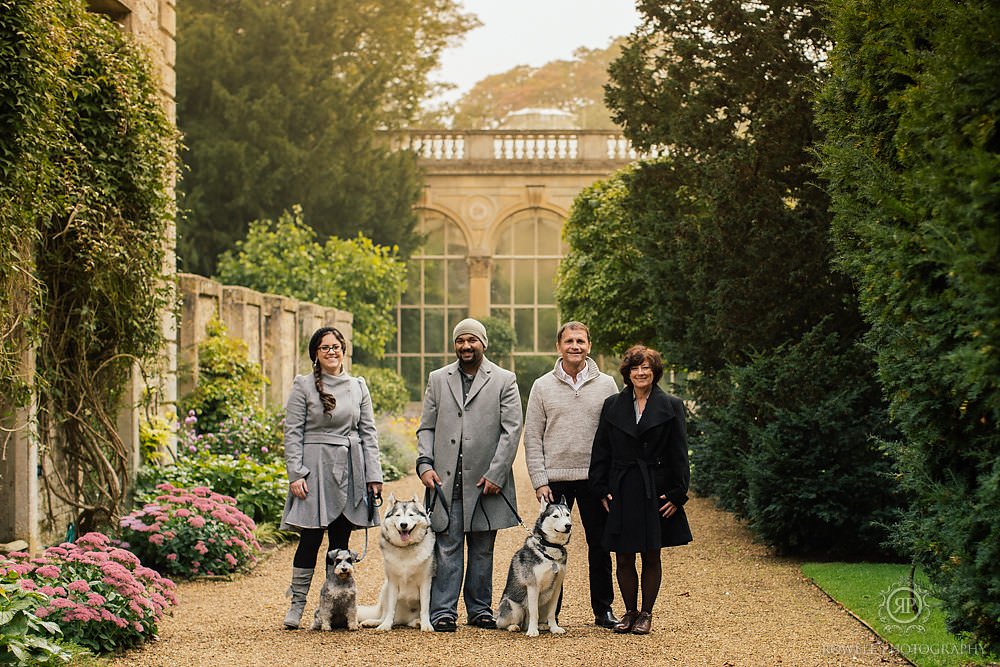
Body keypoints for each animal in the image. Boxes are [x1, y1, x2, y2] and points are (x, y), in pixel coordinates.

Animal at [360, 496, 438, 632]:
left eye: (411, 515)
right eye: (398, 515)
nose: (403, 525)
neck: (406, 548)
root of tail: (404, 619)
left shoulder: (425, 582)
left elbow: (424, 608)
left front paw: (426, 625)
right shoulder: (392, 583)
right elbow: (390, 609)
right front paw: (385, 626)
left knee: (409, 621)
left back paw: (417, 622)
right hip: (385, 589)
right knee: (385, 615)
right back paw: (374, 622)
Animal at [498, 500, 576, 636]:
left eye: (567, 514)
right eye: (555, 516)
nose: (568, 525)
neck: (551, 547)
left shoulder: (556, 588)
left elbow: (552, 613)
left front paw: (554, 628)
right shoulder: (533, 586)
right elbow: (534, 612)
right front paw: (533, 631)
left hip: (544, 602)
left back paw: (542, 625)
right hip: (514, 606)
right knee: (505, 624)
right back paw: (515, 627)